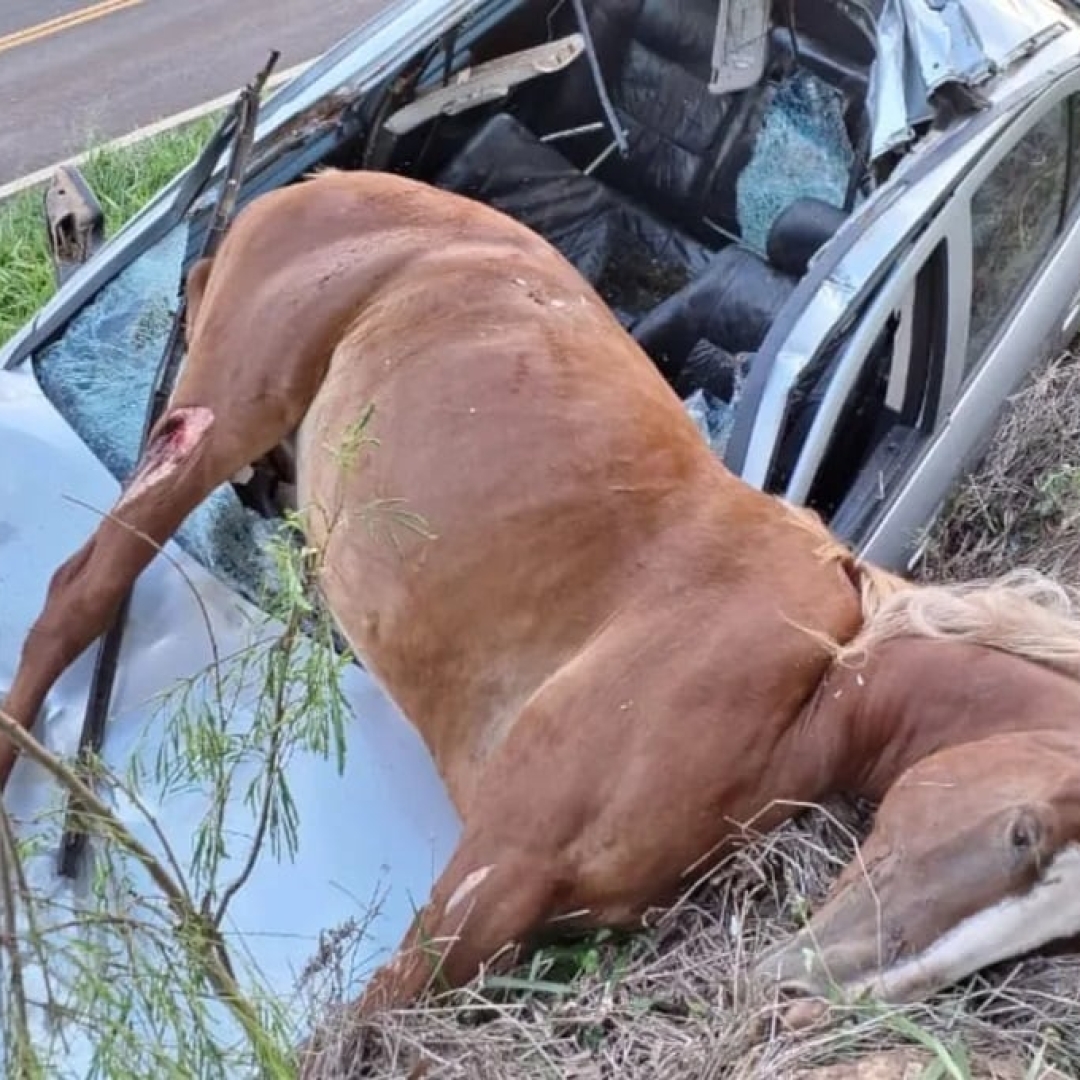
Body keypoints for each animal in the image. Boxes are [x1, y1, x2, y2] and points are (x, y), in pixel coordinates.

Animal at [6, 168, 1080, 1019]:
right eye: (1022, 833)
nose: (814, 992)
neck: (811, 682)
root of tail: (309, 184)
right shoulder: (492, 871)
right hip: (225, 408)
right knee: (79, 591)